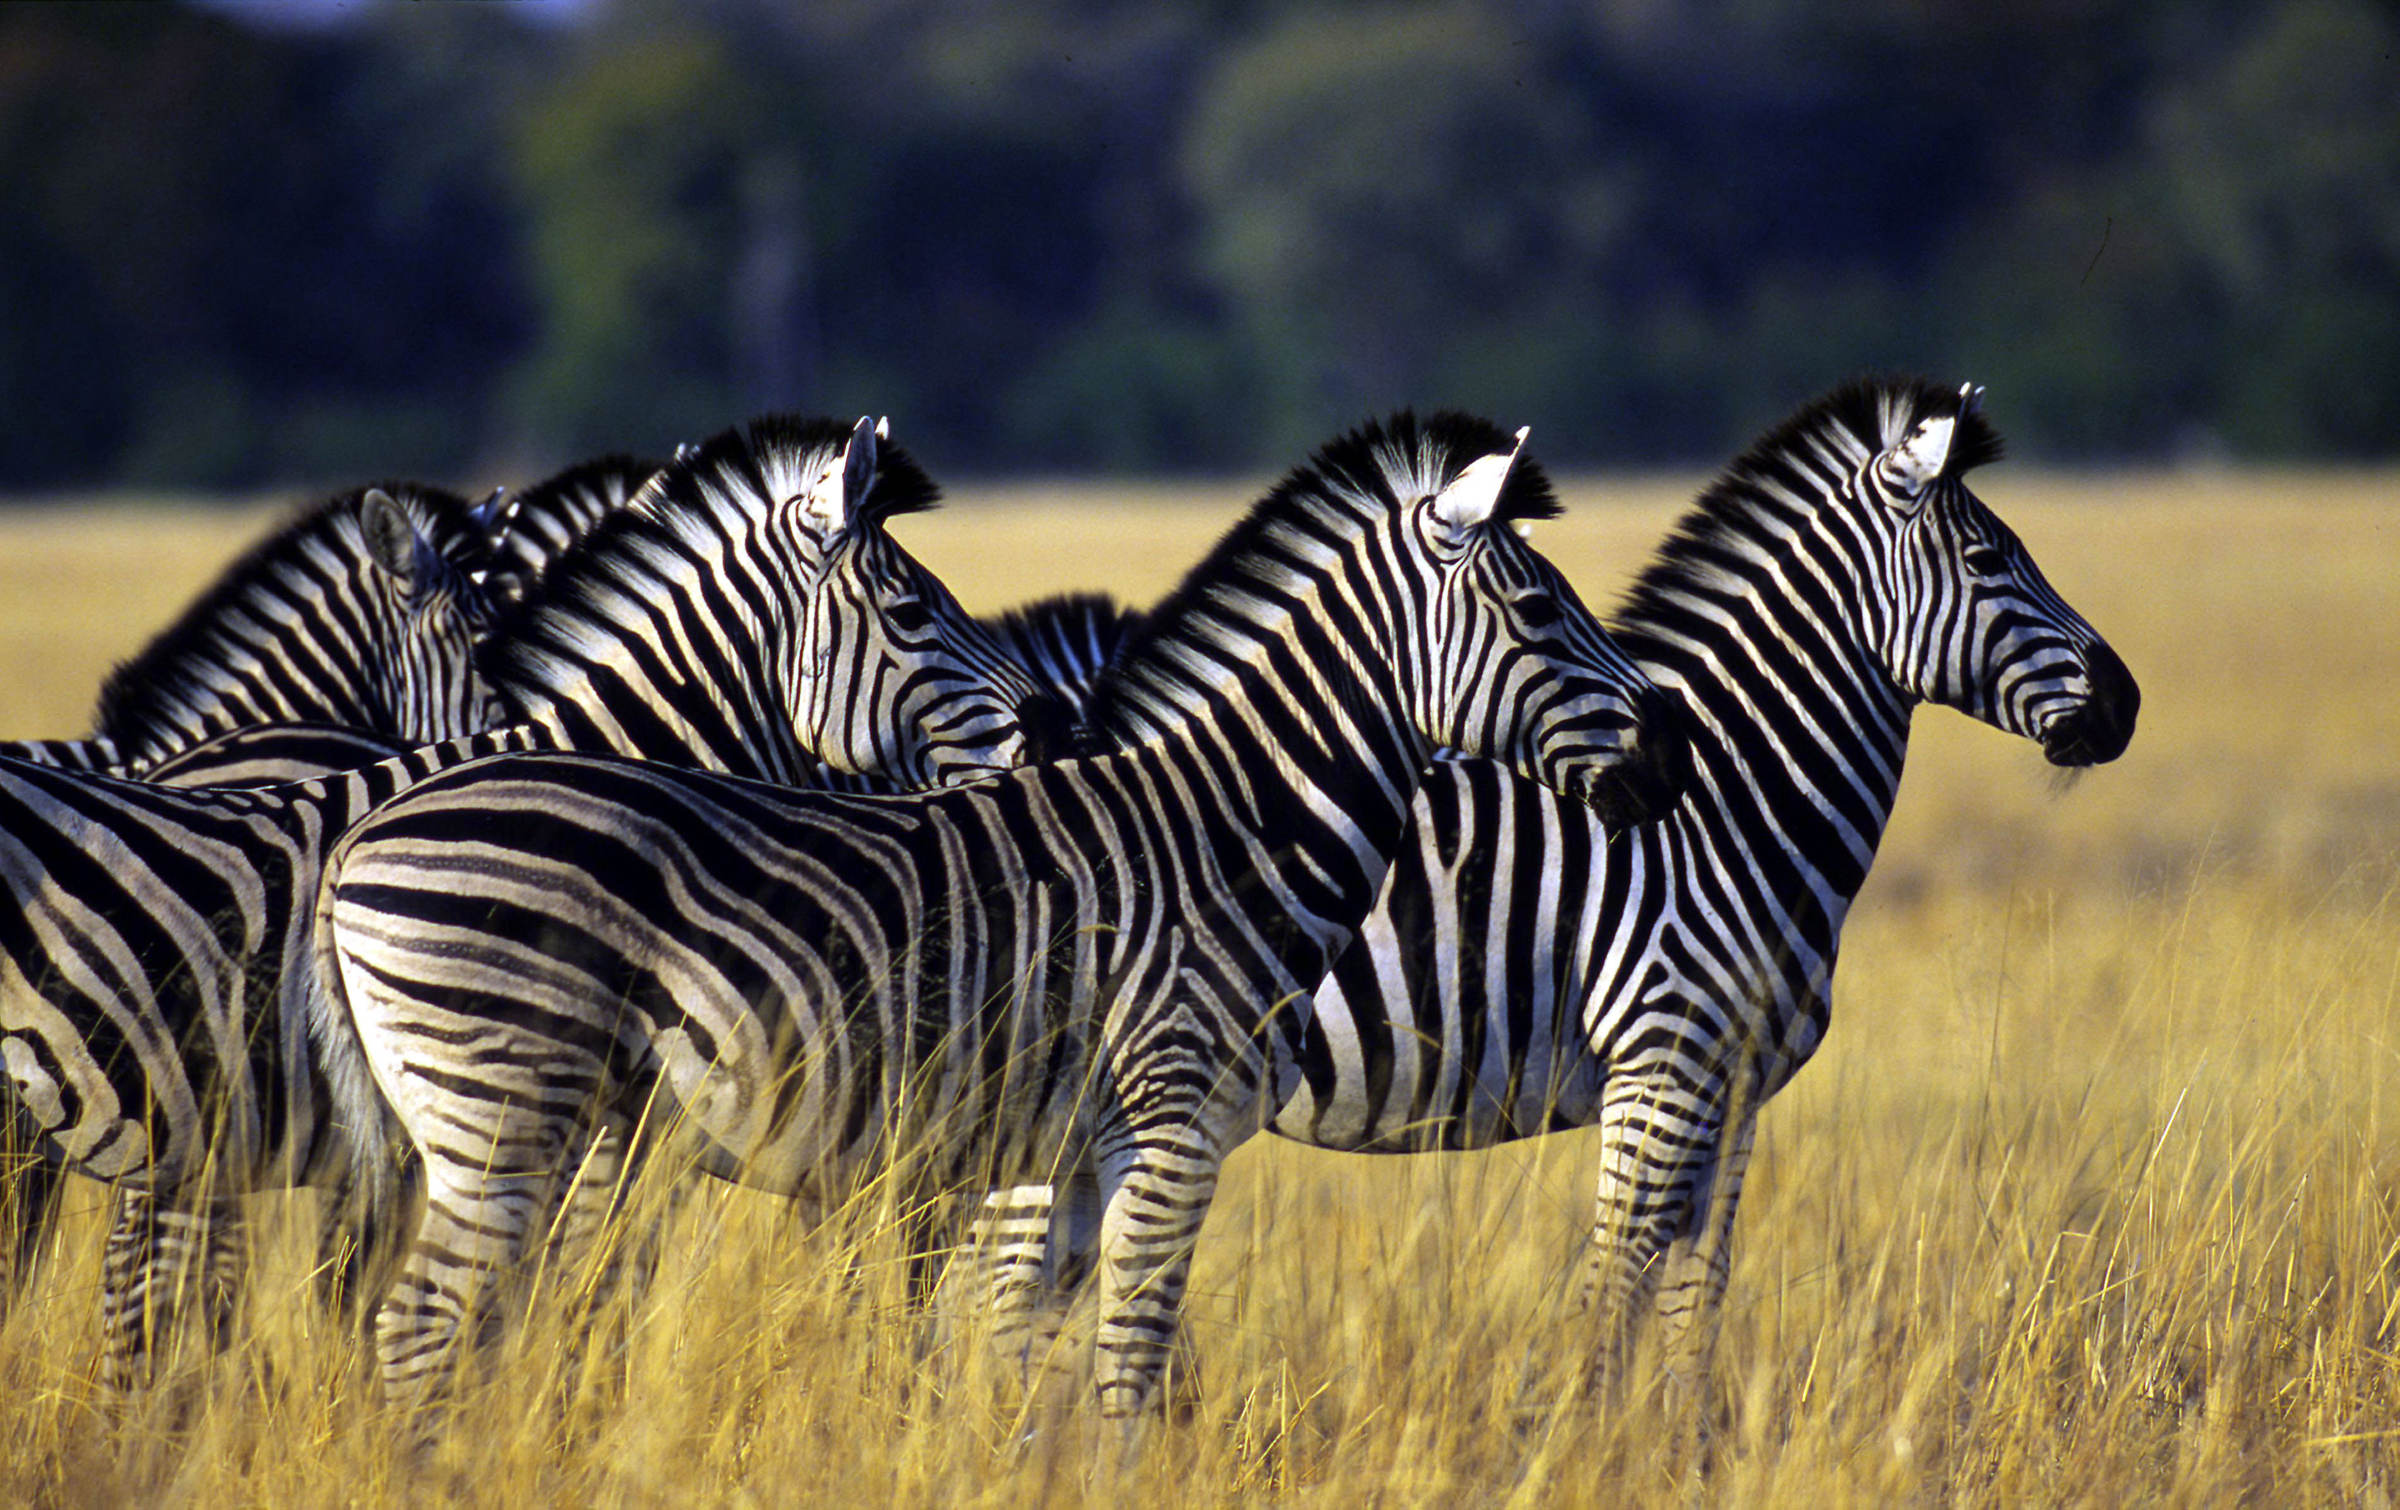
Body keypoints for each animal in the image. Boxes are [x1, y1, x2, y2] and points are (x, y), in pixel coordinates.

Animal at [319, 405, 1699, 1421]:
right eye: (1538, 608)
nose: (1676, 752)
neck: (1234, 832)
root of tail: (359, 841)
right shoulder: (1171, 1125)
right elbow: (1127, 1370)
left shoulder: (1078, 1159)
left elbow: (1030, 1363)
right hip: (505, 1106)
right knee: (417, 1327)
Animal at [955, 372, 2140, 1411]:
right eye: (1990, 557)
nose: (2126, 703)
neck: (1736, 808)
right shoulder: (1661, 1068)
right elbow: (1611, 1297)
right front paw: (1595, 1444)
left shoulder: (1735, 1093)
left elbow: (1693, 1307)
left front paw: (1689, 1450)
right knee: (990, 1304)